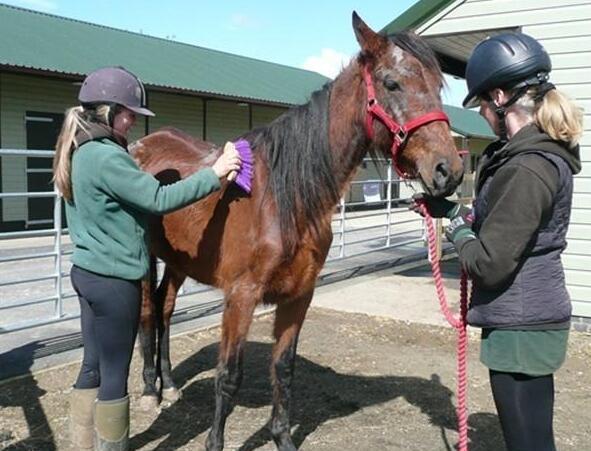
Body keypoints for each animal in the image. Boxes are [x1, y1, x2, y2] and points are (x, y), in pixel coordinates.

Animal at [132, 12, 464, 450]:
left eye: (438, 86)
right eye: (392, 83)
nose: (449, 170)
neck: (283, 197)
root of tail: (142, 145)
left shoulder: (299, 295)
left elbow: (284, 369)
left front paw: (282, 437)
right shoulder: (241, 297)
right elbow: (229, 377)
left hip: (178, 262)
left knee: (166, 307)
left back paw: (168, 382)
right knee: (147, 310)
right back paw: (149, 388)